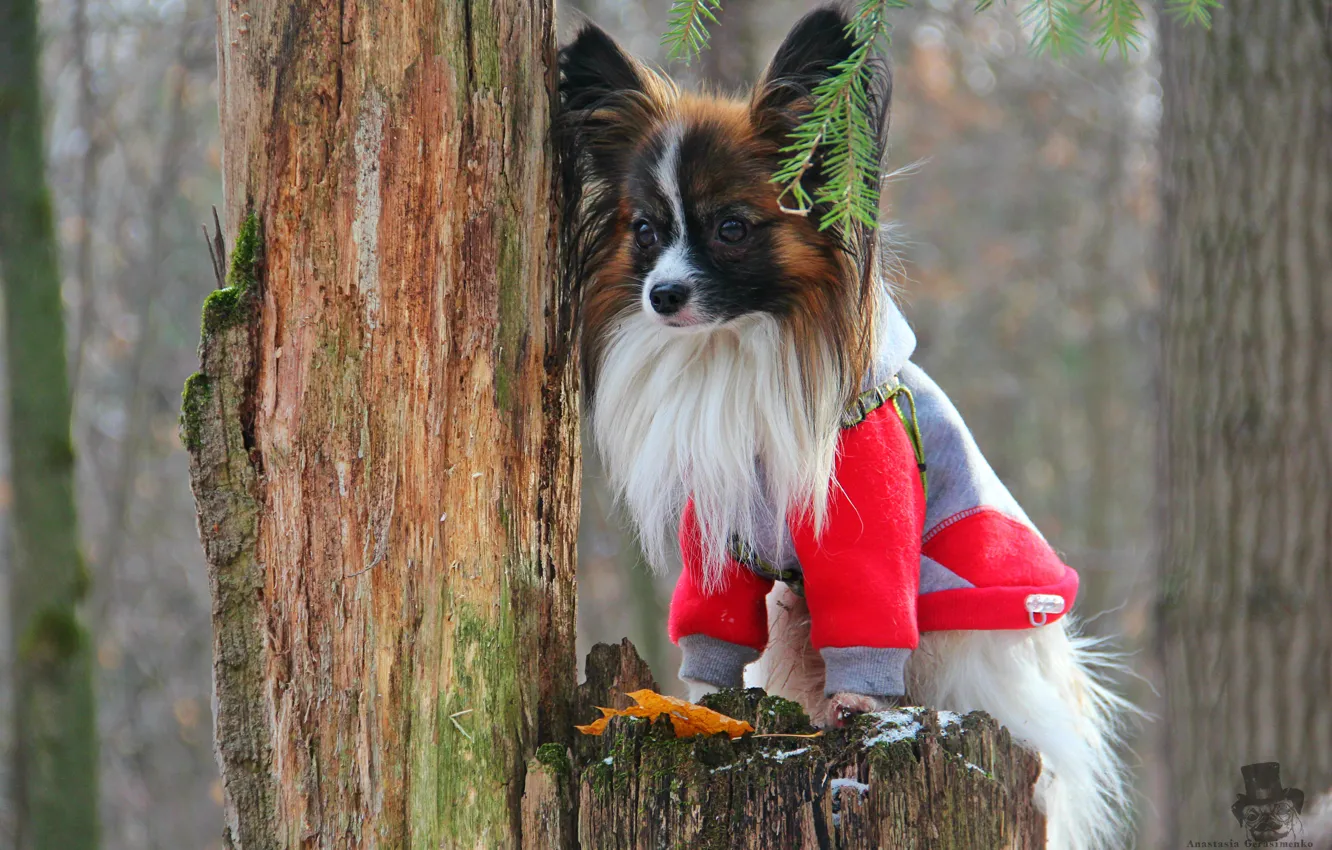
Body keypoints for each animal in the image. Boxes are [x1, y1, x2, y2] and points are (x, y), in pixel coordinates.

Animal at [556, 4, 1129, 847]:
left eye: (732, 228)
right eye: (645, 232)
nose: (662, 294)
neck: (740, 349)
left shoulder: (865, 525)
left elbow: (868, 619)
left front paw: (856, 708)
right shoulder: (717, 526)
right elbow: (714, 628)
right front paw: (700, 704)